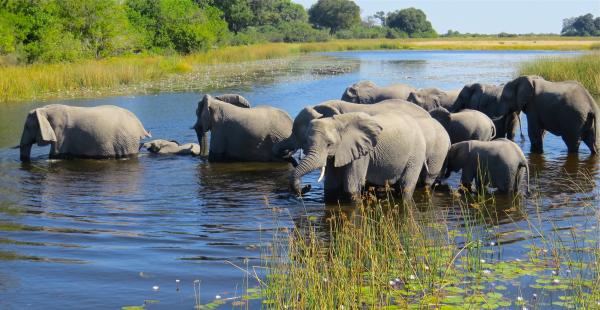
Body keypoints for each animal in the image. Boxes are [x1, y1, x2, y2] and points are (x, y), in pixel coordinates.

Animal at [19, 104, 150, 162]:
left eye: (27, 127)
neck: (45, 109)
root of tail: (139, 124)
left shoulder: (60, 133)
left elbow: (55, 155)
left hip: (127, 140)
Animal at [290, 112, 426, 202]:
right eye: (306, 142)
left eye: (329, 144)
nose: (307, 186)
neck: (338, 122)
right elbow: (331, 185)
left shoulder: (362, 153)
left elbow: (351, 187)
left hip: (416, 153)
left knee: (405, 186)